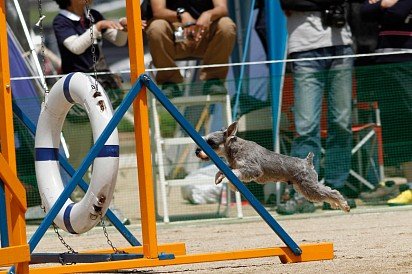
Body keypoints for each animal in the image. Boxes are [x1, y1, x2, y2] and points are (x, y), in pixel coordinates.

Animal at [195, 121, 350, 213]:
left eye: (211, 142)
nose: (197, 151)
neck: (235, 149)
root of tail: (307, 162)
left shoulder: (252, 169)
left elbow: (236, 172)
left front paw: (230, 180)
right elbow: (221, 170)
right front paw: (218, 179)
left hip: (309, 187)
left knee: (332, 192)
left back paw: (343, 205)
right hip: (303, 188)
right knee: (326, 193)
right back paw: (336, 205)